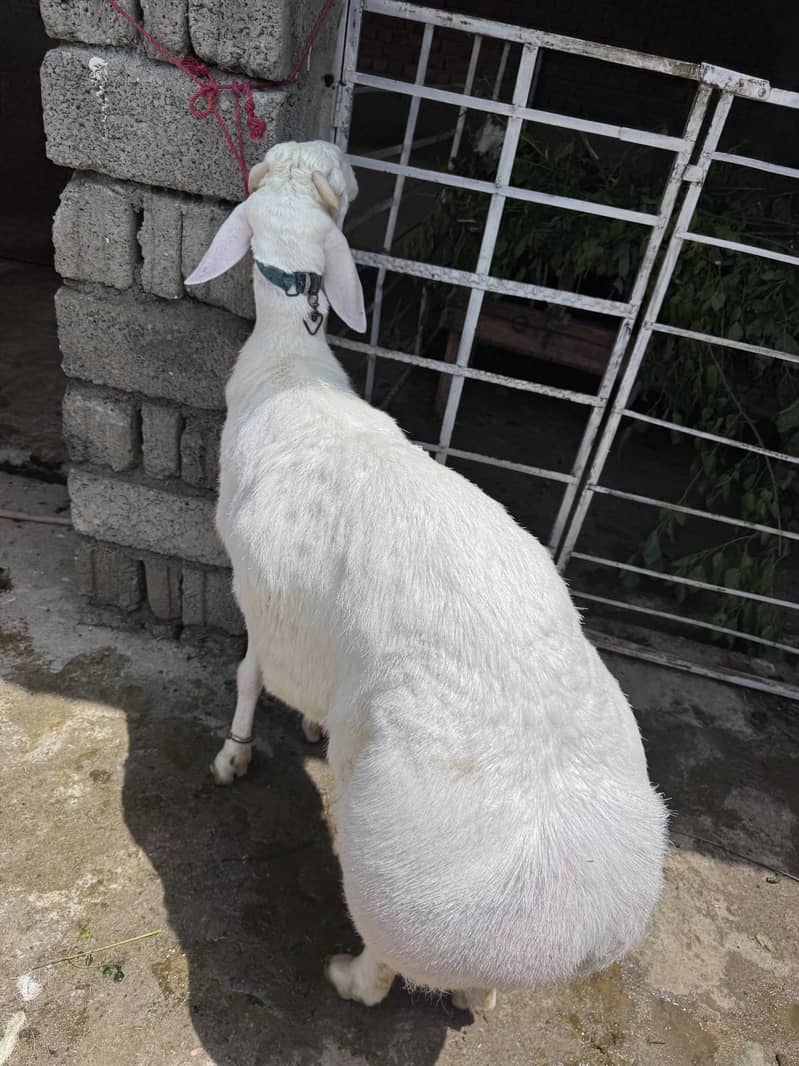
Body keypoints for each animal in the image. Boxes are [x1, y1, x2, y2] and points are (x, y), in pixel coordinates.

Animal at [185, 139, 667, 1012]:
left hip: (391, 889)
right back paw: (477, 1002)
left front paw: (234, 753)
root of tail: (578, 928)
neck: (291, 364)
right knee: (473, 991)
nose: (328, 149)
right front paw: (306, 727)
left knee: (382, 972)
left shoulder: (254, 589)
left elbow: (246, 673)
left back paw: (346, 977)